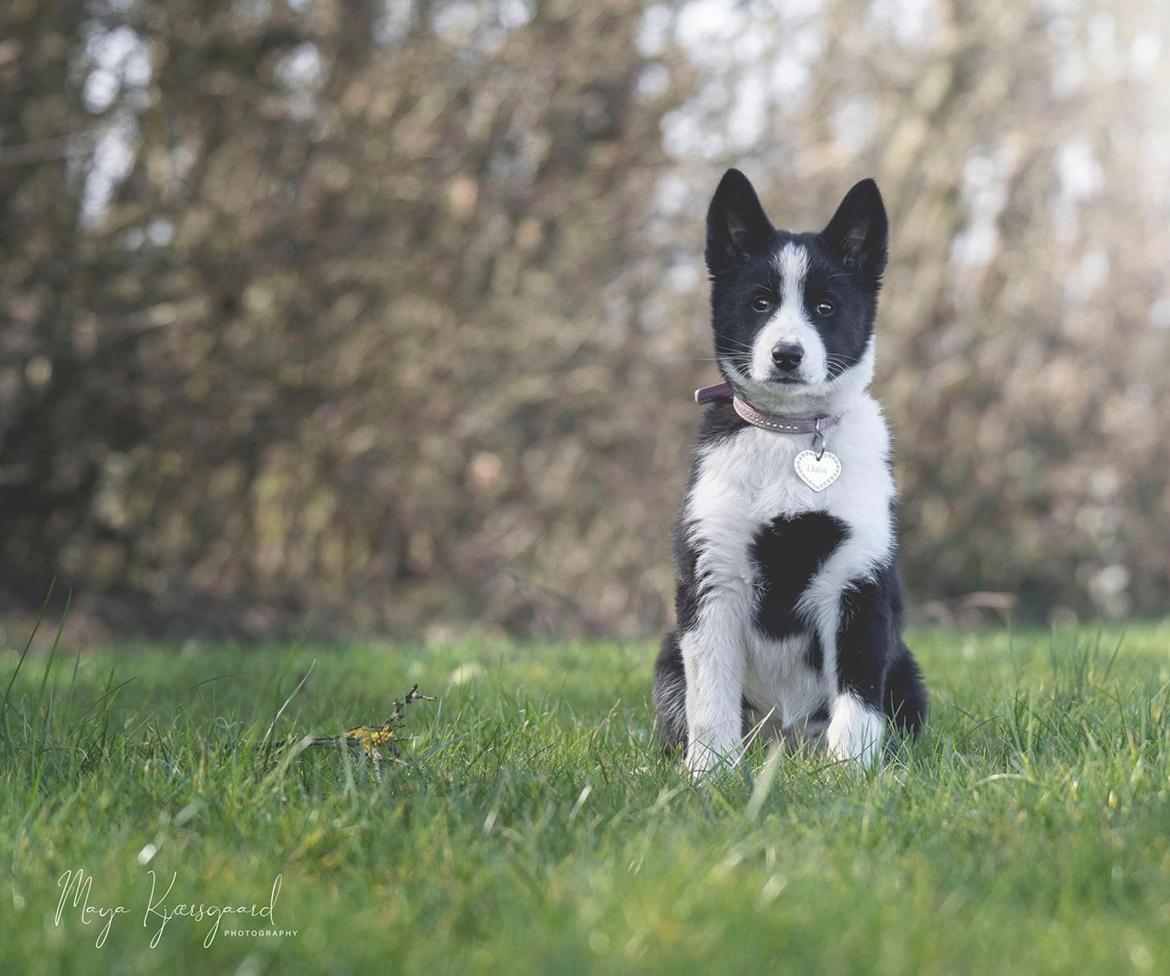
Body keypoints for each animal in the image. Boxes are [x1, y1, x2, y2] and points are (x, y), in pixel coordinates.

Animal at [655, 169, 926, 777]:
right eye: (760, 303)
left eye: (825, 308)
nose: (786, 355)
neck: (792, 435)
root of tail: (784, 739)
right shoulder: (713, 574)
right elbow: (710, 697)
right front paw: (709, 775)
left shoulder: (858, 581)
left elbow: (857, 698)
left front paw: (850, 775)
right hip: (667, 659)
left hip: (906, 674)